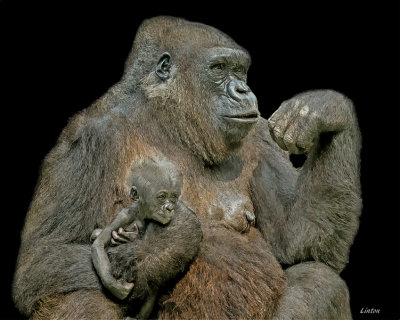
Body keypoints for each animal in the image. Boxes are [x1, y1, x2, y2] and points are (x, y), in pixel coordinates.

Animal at [91, 159, 197, 318]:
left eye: (174, 197)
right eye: (162, 197)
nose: (169, 208)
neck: (143, 215)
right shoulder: (124, 215)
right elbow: (99, 244)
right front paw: (117, 287)